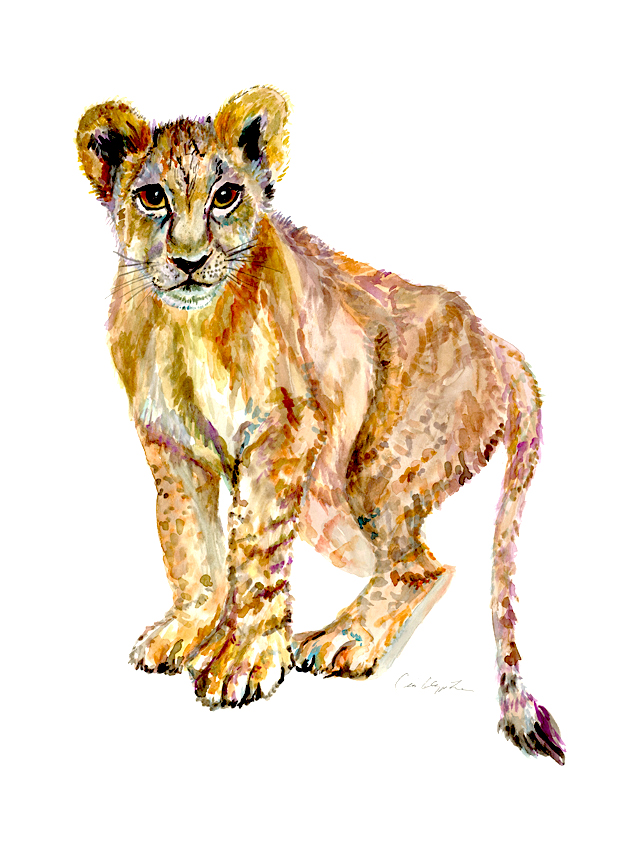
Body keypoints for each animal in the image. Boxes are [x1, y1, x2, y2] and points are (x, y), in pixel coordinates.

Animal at [77, 86, 565, 764]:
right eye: (152, 197)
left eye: (226, 196)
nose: (190, 260)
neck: (191, 326)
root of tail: (496, 343)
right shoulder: (171, 445)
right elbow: (187, 541)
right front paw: (190, 627)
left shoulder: (285, 431)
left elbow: (255, 547)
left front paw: (242, 656)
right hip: (331, 506)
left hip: (368, 475)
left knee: (423, 567)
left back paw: (346, 641)